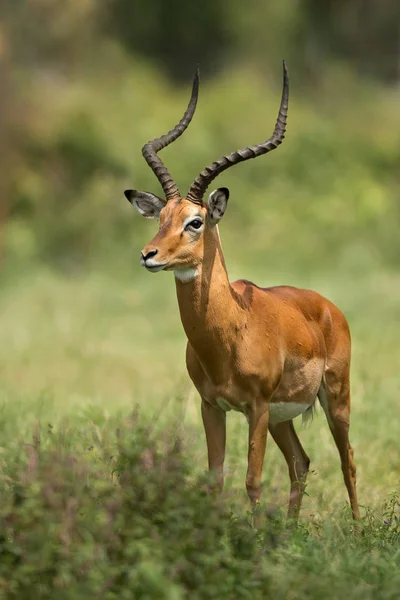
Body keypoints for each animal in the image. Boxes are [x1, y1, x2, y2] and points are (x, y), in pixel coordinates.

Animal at [124, 62, 360, 520]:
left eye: (196, 221)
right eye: (160, 216)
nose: (148, 254)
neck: (231, 330)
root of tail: (327, 306)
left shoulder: (257, 407)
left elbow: (252, 481)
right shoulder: (211, 406)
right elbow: (215, 480)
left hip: (334, 398)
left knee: (348, 462)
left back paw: (359, 531)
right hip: (285, 418)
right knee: (301, 462)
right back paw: (290, 531)